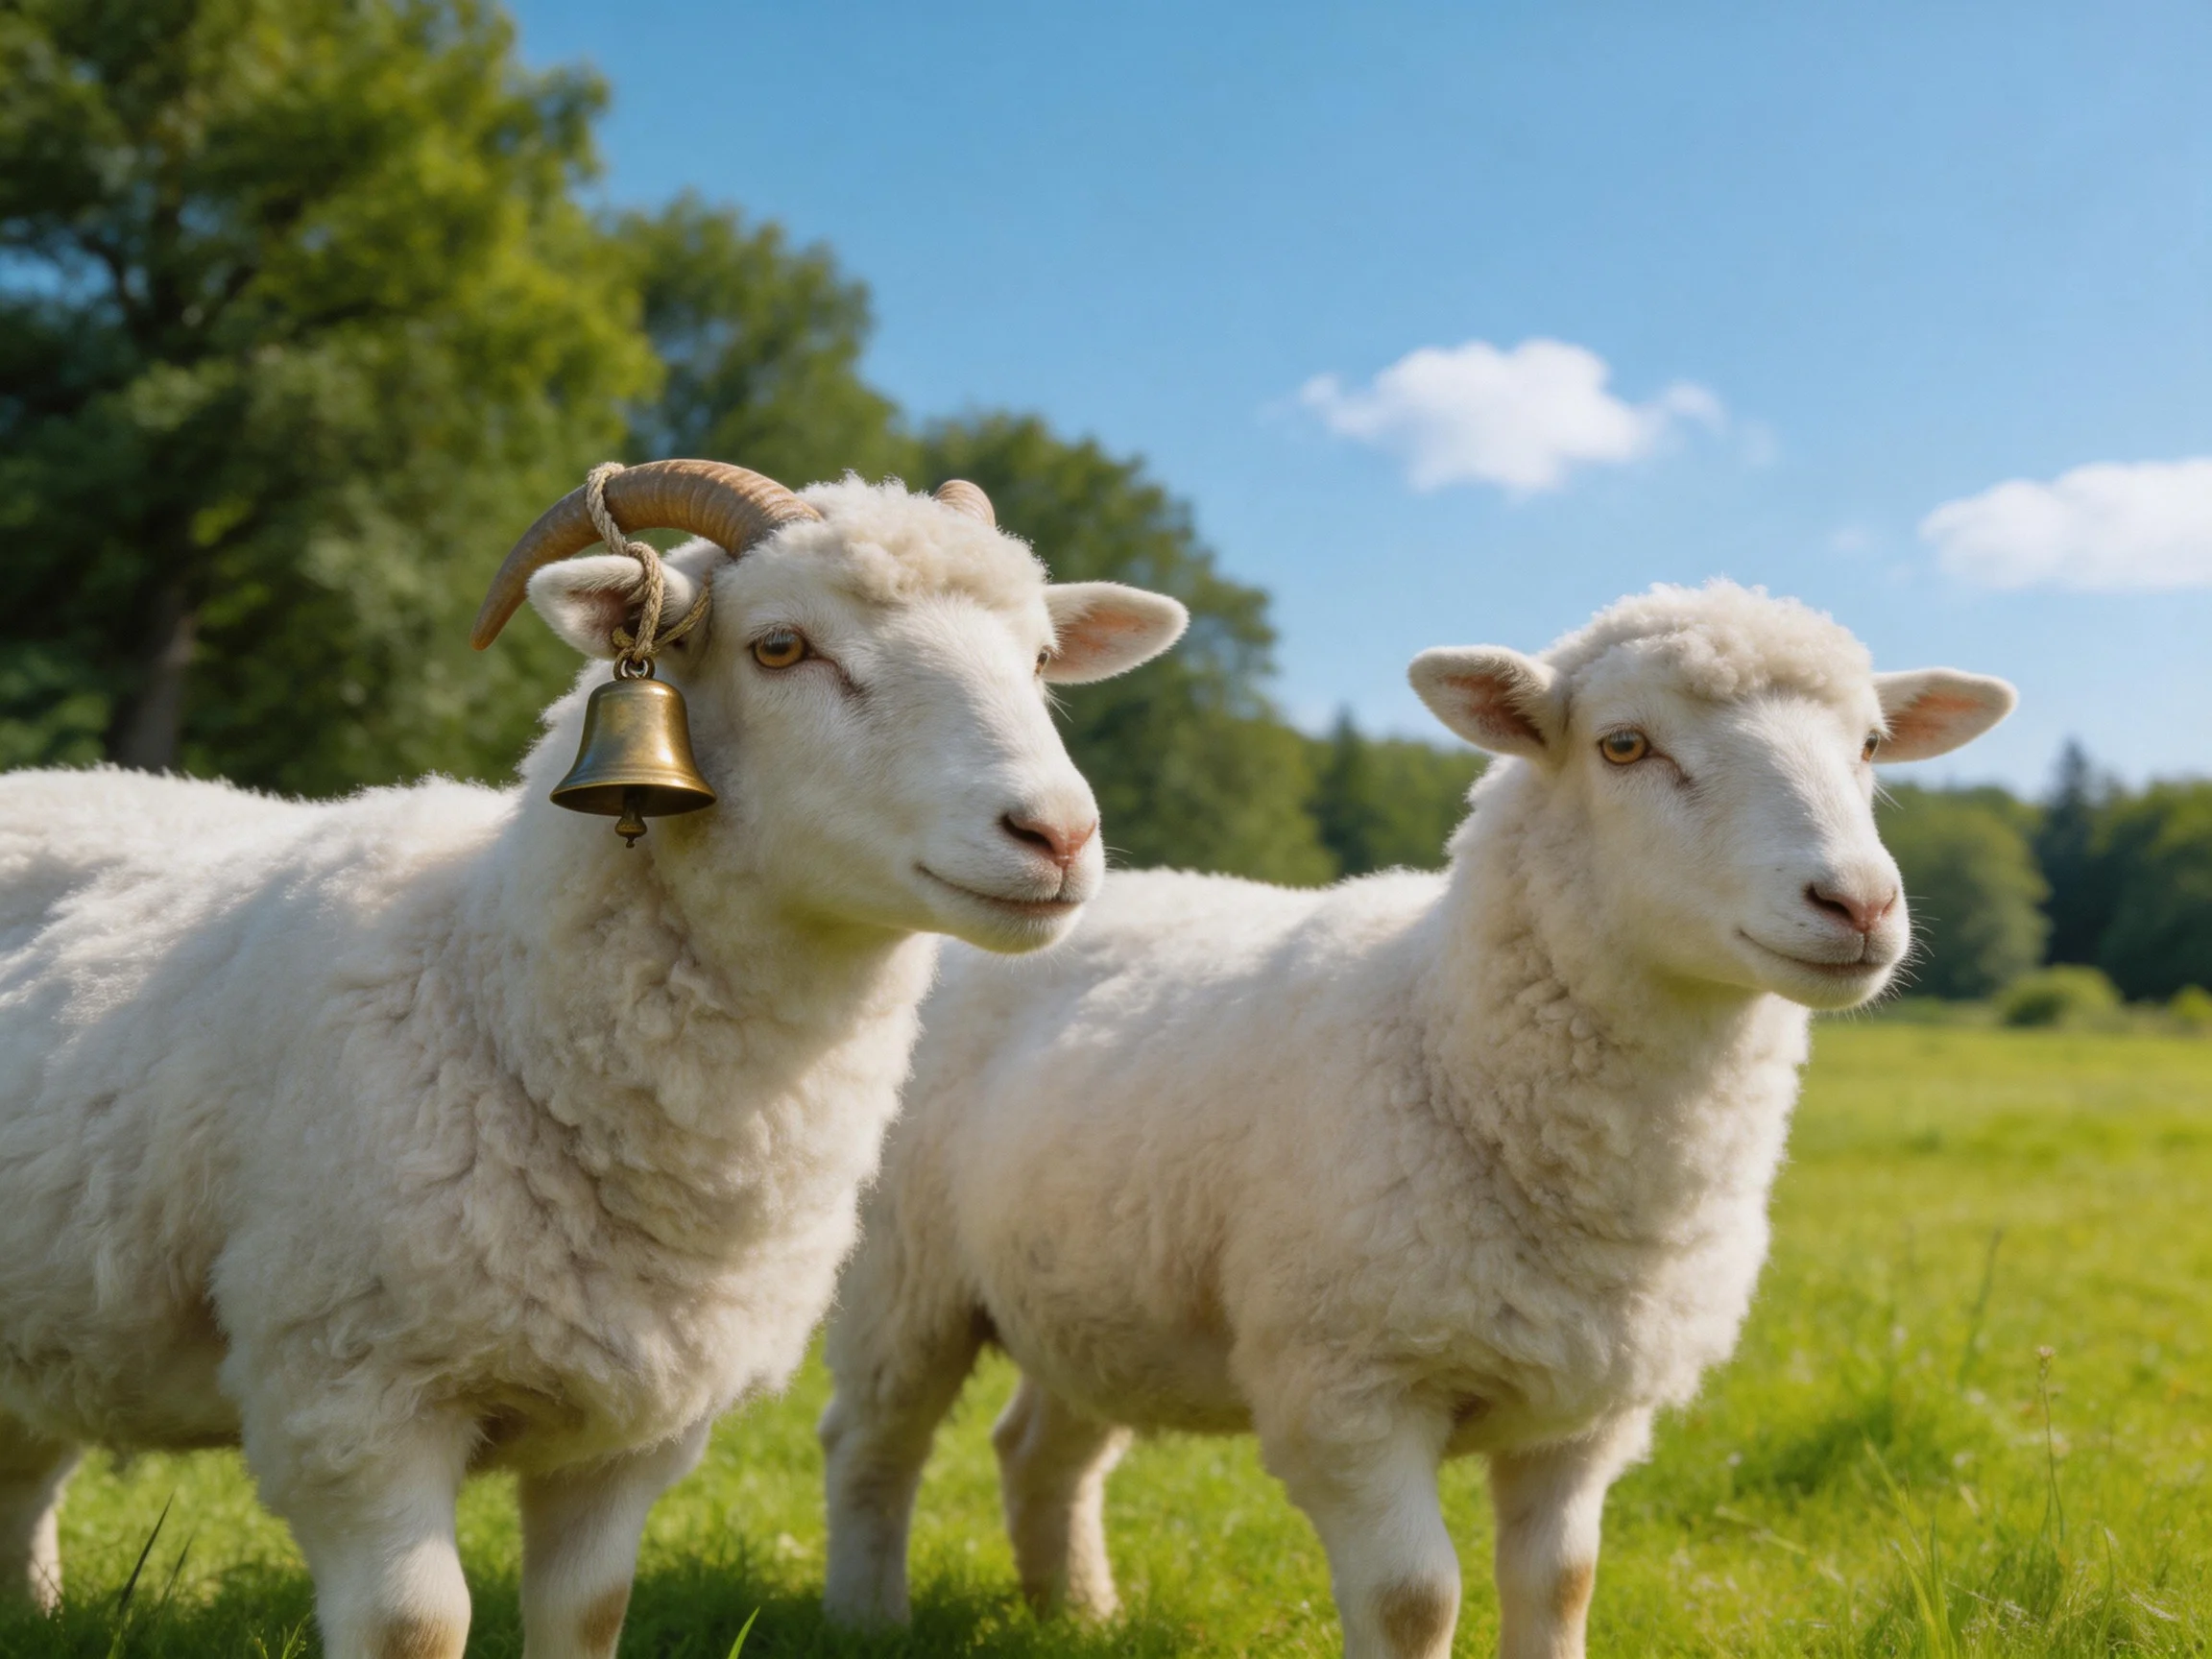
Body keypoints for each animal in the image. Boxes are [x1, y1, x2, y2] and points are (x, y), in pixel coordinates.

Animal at [0, 460, 1188, 1659]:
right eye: (779, 646)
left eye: (1039, 658)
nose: (1057, 837)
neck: (495, 995)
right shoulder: (348, 1391)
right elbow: (416, 1625)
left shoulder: (636, 1422)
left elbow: (590, 1612)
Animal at [819, 581, 2015, 1659]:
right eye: (1624, 745)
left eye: (1870, 746)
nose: (1858, 903)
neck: (1448, 1042)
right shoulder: (1347, 1388)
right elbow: (1411, 1601)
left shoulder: (1591, 1408)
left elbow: (1563, 1583)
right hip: (900, 1271)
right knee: (872, 1443)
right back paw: (869, 1619)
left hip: (1096, 1290)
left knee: (1039, 1448)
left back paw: (1077, 1614)